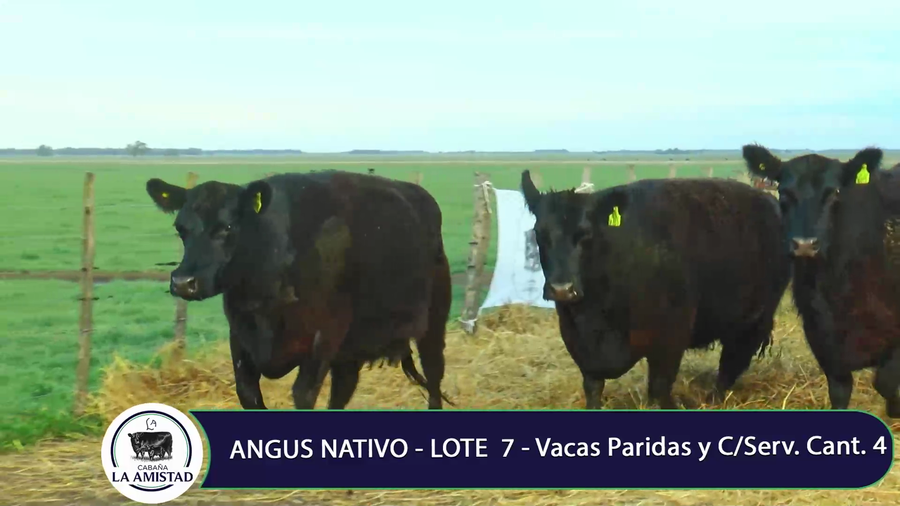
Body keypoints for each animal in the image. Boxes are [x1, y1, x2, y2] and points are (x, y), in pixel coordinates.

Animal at [144, 170, 453, 410]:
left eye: (227, 227)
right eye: (180, 228)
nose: (183, 281)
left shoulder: (322, 340)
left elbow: (303, 395)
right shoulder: (240, 341)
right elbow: (249, 395)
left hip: (434, 320)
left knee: (434, 375)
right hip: (350, 347)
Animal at [520, 170, 791, 409]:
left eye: (586, 234)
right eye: (538, 233)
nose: (561, 289)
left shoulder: (671, 338)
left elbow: (660, 388)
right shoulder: (579, 343)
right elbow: (593, 389)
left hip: (754, 319)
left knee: (731, 363)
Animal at [743, 146, 900, 417]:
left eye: (835, 192)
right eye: (783, 191)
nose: (805, 244)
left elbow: (886, 383)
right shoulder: (824, 341)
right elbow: (840, 393)